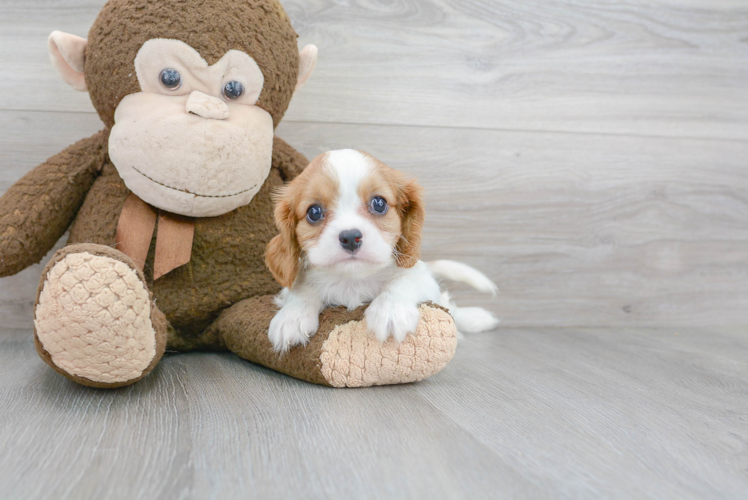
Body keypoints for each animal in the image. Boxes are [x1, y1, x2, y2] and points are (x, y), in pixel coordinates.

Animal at [266, 148, 500, 352]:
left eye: (379, 203)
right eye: (314, 212)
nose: (350, 237)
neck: (353, 280)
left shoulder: (422, 278)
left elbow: (403, 281)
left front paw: (391, 311)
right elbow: (300, 289)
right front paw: (291, 317)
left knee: (452, 308)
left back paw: (477, 318)